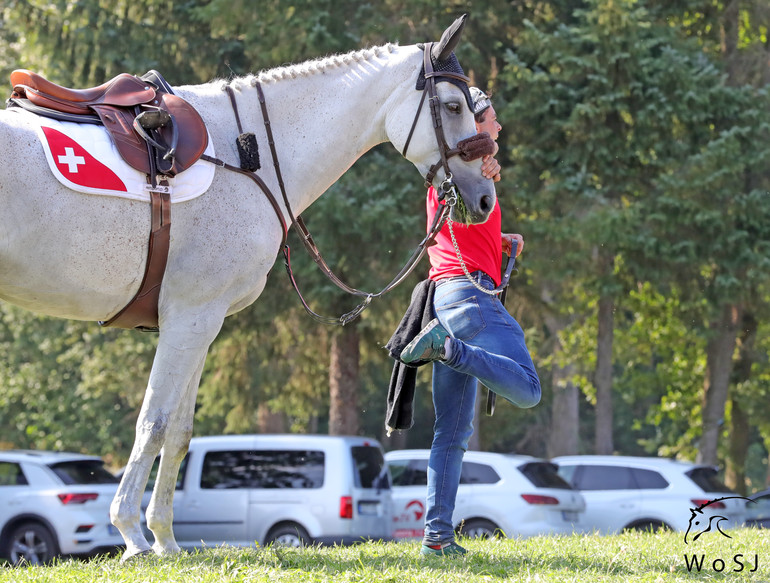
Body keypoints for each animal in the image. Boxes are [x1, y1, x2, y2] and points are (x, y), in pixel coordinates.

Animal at [0, 17, 492, 560]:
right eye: (453, 106)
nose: (485, 197)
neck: (243, 152)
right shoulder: (190, 317)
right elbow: (154, 422)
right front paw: (131, 533)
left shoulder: (198, 324)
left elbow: (179, 431)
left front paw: (164, 538)